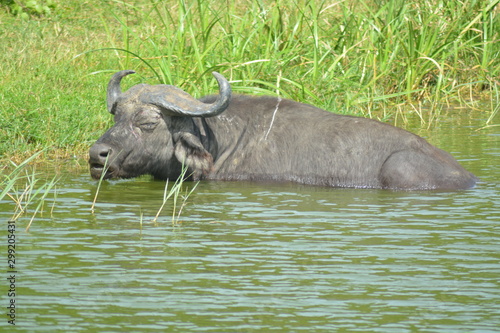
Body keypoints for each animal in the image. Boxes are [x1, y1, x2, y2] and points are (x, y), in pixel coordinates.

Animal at [89, 70, 476, 189]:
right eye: (116, 118)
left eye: (147, 123)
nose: (97, 155)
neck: (220, 142)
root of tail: (469, 176)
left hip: (400, 167)